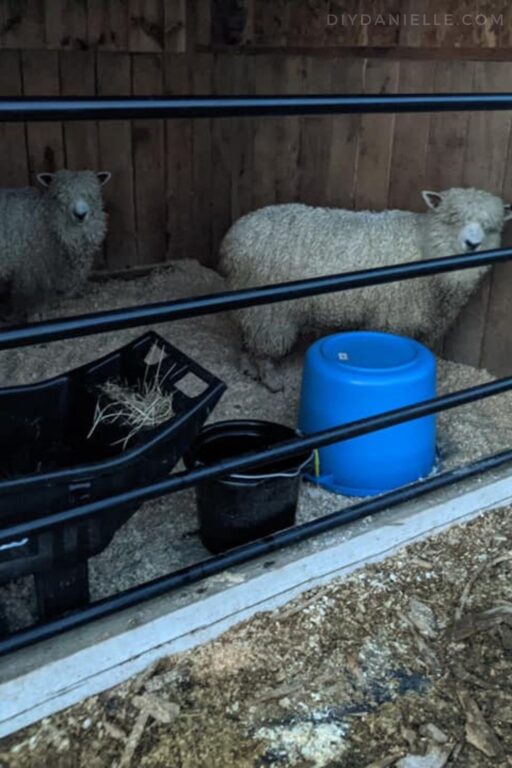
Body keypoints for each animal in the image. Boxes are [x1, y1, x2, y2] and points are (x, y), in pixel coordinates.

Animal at [219, 187, 512, 391]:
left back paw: (248, 367)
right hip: (271, 310)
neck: (424, 245)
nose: (472, 244)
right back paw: (270, 378)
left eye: (491, 227)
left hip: (252, 302)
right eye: (453, 219)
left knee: (248, 337)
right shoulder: (393, 319)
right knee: (265, 344)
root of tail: (235, 237)